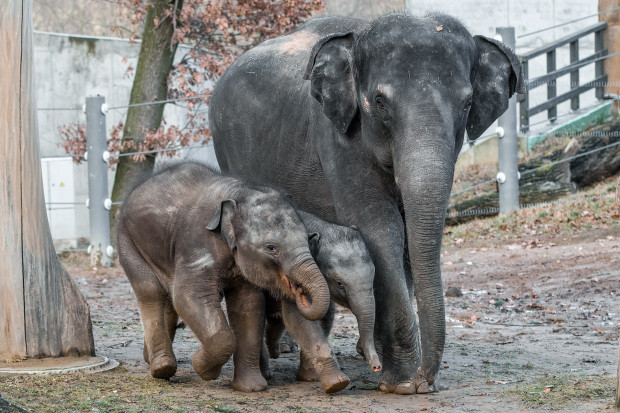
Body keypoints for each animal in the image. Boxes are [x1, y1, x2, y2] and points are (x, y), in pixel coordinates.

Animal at [115, 163, 330, 392]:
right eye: (271, 248)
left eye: (307, 239)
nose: (300, 291)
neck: (237, 193)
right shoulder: (195, 246)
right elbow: (188, 296)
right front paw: (203, 369)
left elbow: (248, 306)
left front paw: (251, 389)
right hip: (127, 242)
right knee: (150, 291)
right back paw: (162, 368)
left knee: (166, 297)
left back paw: (150, 359)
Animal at [260, 209, 380, 392]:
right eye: (339, 283)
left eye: (373, 277)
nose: (376, 367)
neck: (323, 226)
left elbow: (325, 316)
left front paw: (310, 378)